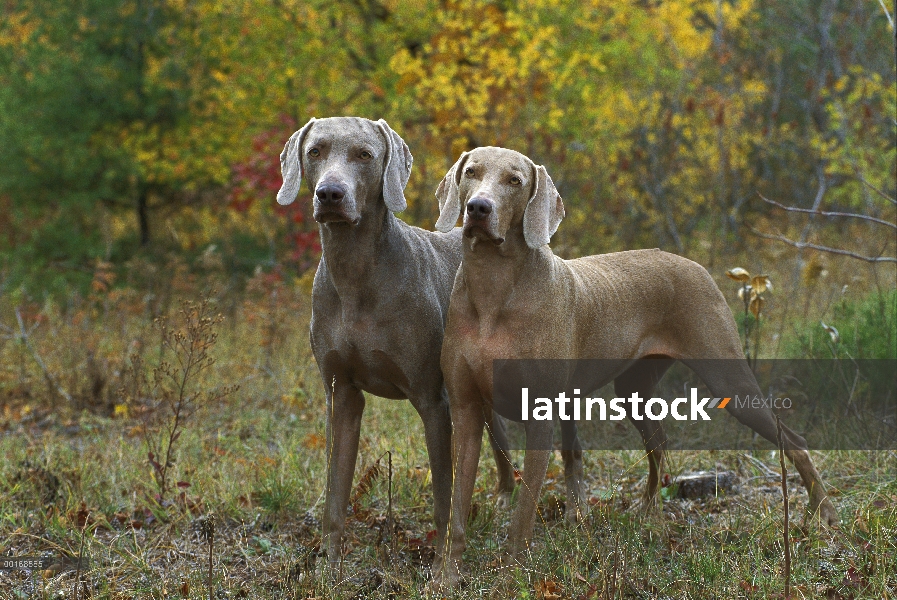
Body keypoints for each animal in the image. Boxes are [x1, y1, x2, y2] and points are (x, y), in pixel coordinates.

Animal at [274, 117, 520, 572]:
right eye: (315, 151)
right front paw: (328, 566)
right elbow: (335, 493)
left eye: (364, 155)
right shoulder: (341, 393)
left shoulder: (432, 399)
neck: (356, 275)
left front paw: (441, 565)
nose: (330, 194)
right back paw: (504, 497)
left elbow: (443, 496)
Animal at [430, 146, 836, 592]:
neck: (493, 290)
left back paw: (824, 514)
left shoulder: (539, 417)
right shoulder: (467, 411)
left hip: (729, 378)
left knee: (793, 439)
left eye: (515, 181)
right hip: (633, 390)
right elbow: (456, 511)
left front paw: (510, 574)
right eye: (471, 172)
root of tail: (696, 266)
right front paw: (446, 575)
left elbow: (523, 514)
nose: (478, 208)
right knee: (659, 443)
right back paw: (647, 513)